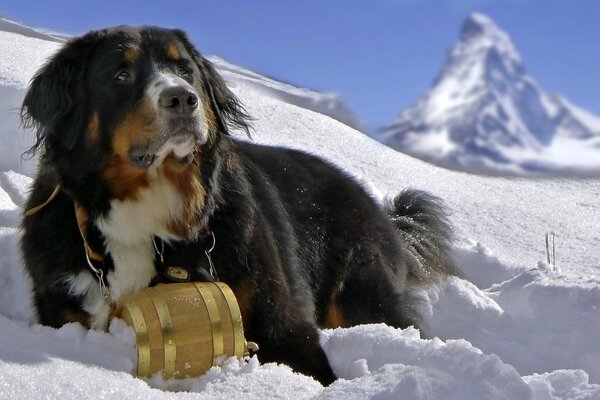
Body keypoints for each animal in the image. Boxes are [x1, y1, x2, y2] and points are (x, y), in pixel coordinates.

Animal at [21, 25, 458, 384]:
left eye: (184, 70)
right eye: (121, 74)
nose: (182, 99)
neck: (150, 214)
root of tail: (378, 207)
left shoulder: (281, 319)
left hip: (360, 293)